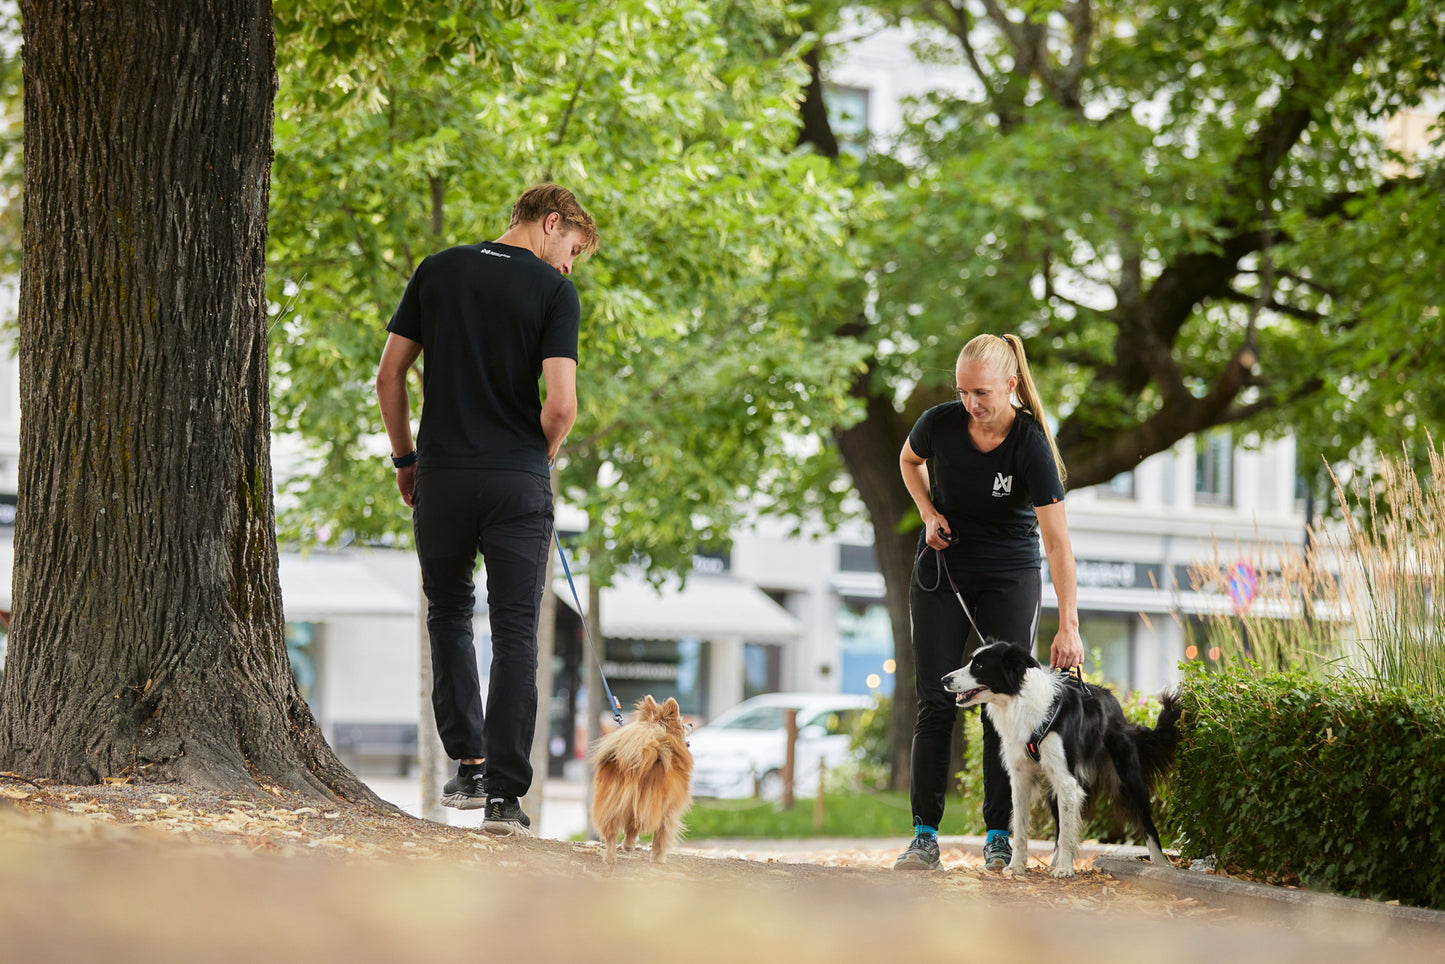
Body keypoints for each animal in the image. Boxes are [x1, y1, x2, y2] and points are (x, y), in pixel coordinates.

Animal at [589, 693, 696, 867]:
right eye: (682, 724)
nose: (692, 723)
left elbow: (632, 827)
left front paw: (628, 845)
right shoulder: (667, 810)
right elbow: (659, 837)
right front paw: (658, 859)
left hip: (612, 802)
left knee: (611, 832)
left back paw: (610, 858)